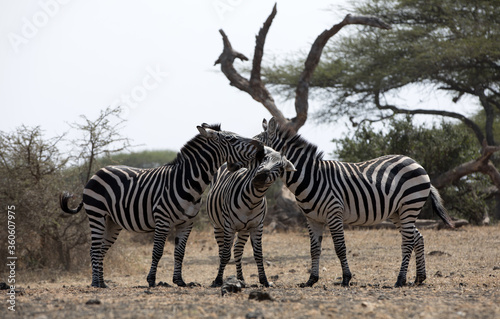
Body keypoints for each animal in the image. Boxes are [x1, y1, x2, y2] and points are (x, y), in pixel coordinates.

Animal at [59, 124, 266, 288]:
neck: (188, 181)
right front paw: (151, 280)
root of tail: (98, 172)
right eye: (232, 139)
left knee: (101, 249)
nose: (261, 147)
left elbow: (180, 253)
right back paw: (96, 283)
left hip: (112, 222)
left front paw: (180, 281)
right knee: (94, 249)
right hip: (97, 215)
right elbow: (157, 252)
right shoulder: (162, 220)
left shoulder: (187, 223)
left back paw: (102, 282)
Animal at [207, 146, 296, 288]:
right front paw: (218, 280)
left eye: (281, 167)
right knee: (222, 250)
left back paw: (240, 279)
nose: (260, 177)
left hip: (244, 229)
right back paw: (221, 278)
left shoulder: (257, 226)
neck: (252, 200)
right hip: (218, 225)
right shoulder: (229, 225)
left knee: (237, 250)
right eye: (264, 159)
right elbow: (225, 254)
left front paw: (264, 280)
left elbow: (259, 254)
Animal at [256, 119, 456, 288]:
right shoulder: (312, 219)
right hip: (398, 212)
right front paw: (311, 280)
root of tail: (415, 162)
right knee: (417, 237)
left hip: (409, 205)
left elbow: (340, 247)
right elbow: (314, 249)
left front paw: (346, 278)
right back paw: (419, 278)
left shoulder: (334, 213)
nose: (256, 176)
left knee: (407, 241)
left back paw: (400, 280)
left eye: (259, 149)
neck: (312, 177)